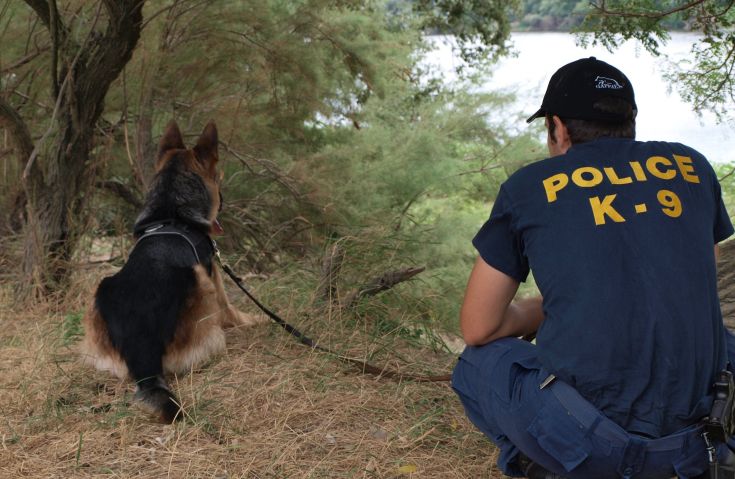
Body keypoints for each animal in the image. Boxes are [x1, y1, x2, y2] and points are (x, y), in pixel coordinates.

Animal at [81, 121, 258, 424]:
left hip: (99, 295)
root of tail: (141, 345)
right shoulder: (216, 279)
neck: (171, 212)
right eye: (218, 178)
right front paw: (259, 320)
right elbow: (237, 313)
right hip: (201, 286)